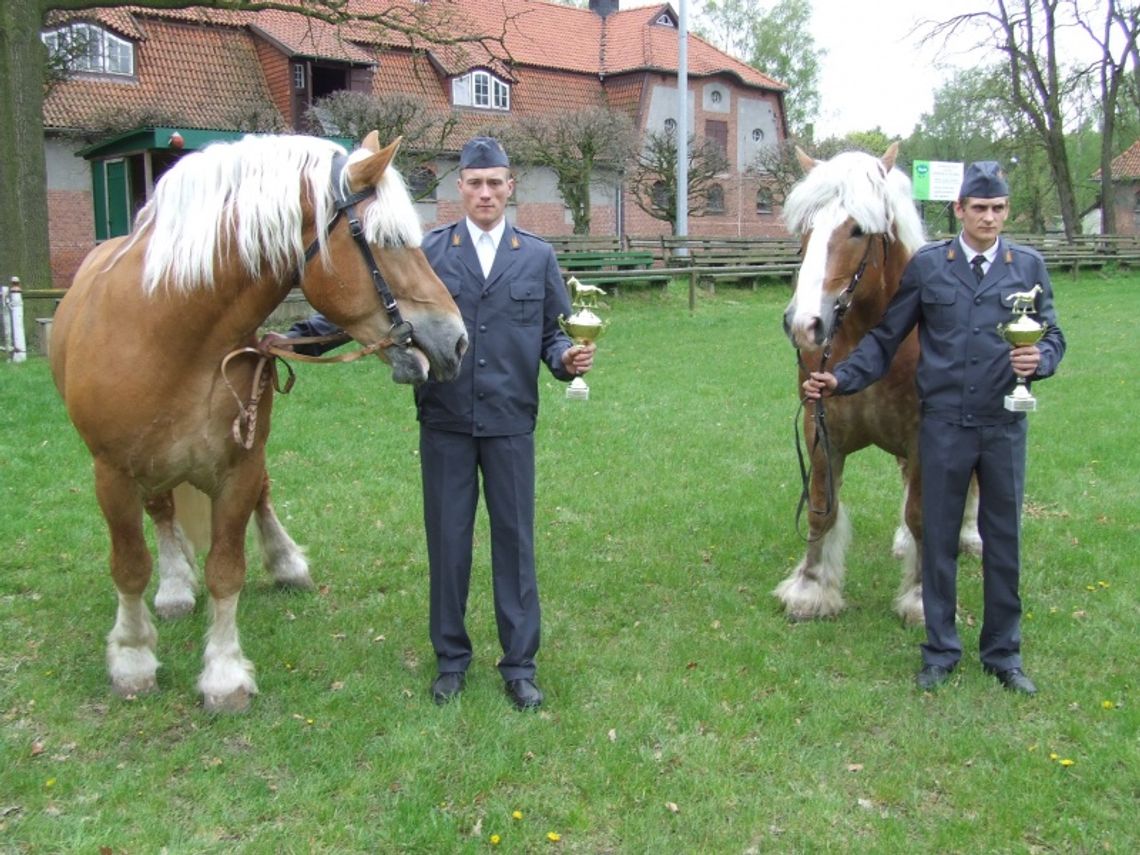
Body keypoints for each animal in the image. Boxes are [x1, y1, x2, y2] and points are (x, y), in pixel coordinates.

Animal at [49, 130, 467, 711]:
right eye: (386, 238)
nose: (457, 339)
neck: (170, 334)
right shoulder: (112, 473)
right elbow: (129, 567)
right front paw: (132, 660)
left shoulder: (239, 465)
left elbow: (227, 570)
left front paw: (224, 675)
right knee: (161, 512)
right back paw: (174, 587)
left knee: (260, 499)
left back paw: (286, 562)